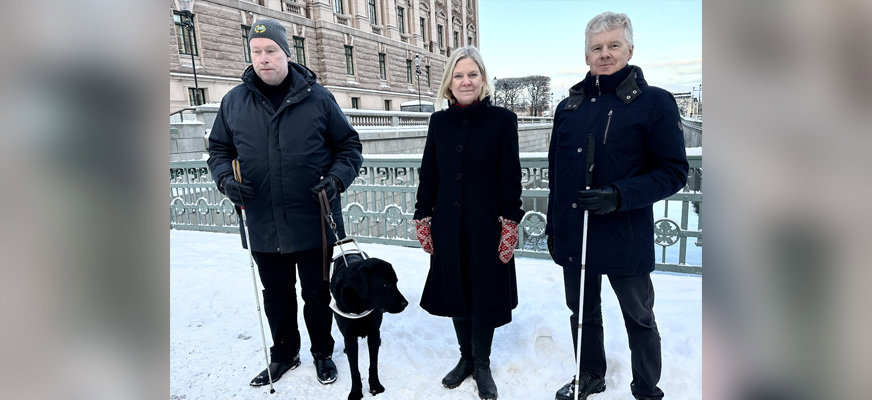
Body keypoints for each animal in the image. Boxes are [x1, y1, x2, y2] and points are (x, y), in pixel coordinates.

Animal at [330, 252, 408, 398]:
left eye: (396, 282)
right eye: (385, 284)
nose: (405, 304)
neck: (360, 306)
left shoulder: (373, 333)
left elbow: (373, 364)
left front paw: (375, 386)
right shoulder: (350, 337)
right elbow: (354, 369)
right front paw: (355, 392)